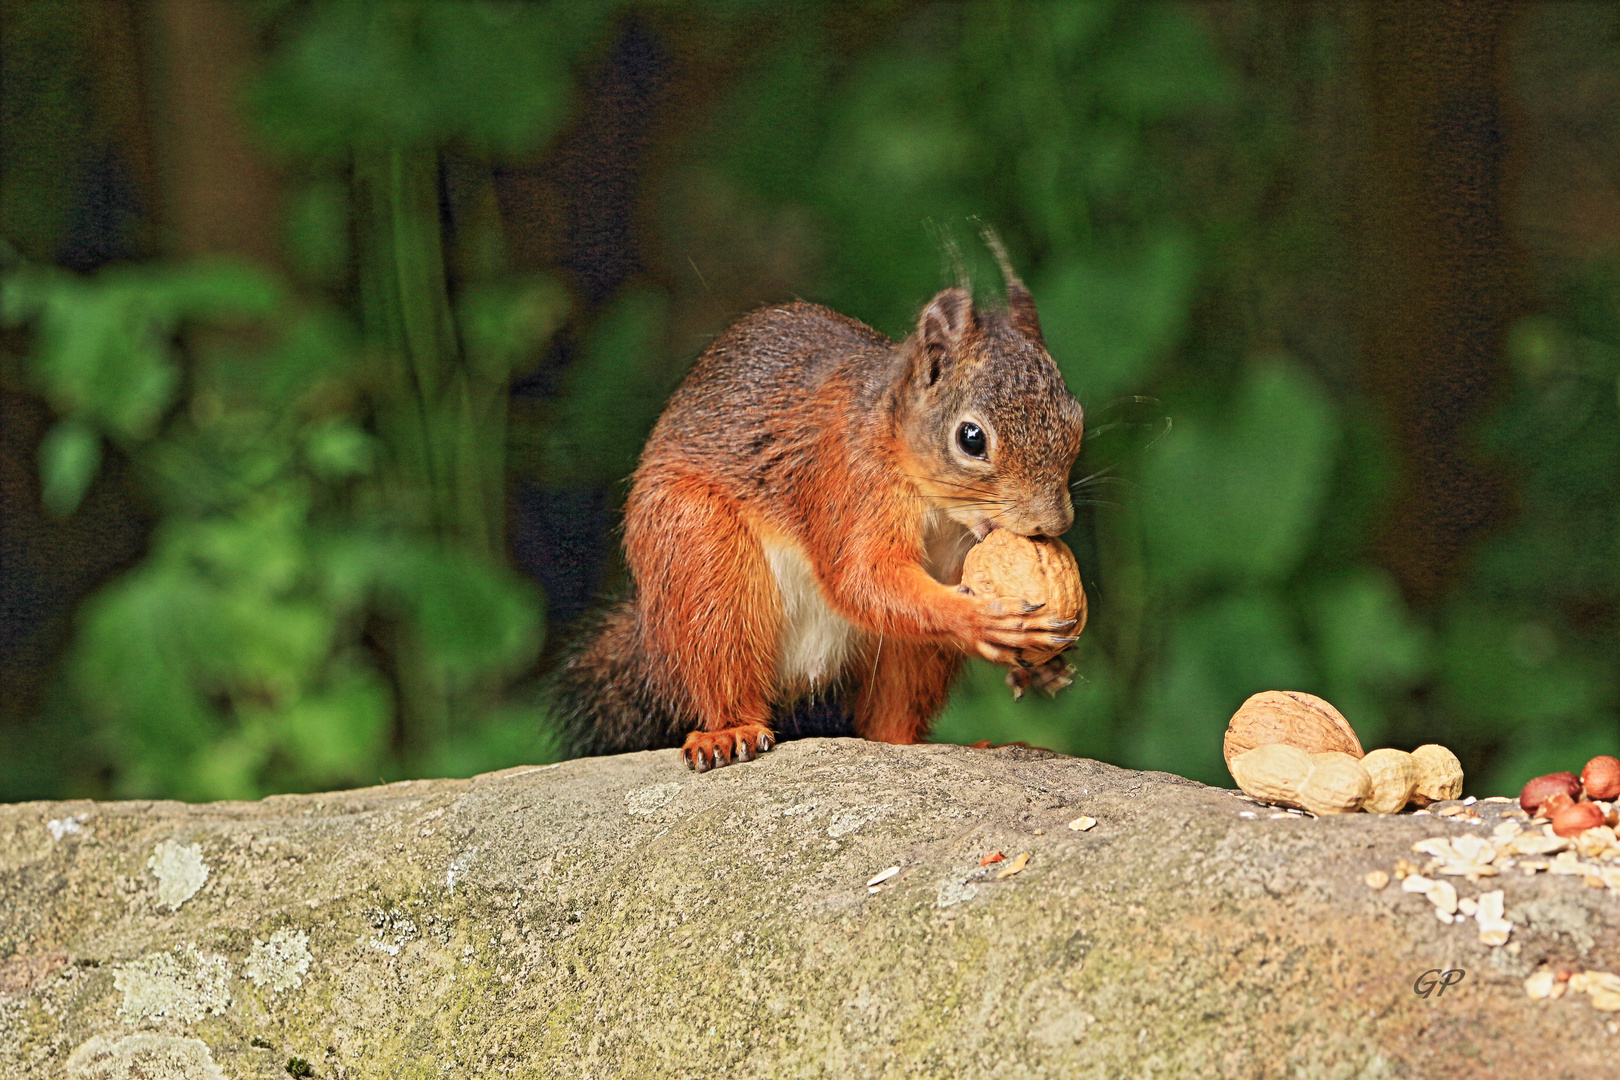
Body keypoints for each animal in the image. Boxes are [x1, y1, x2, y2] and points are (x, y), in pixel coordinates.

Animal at [550, 241, 1082, 773]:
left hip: (899, 651)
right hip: (697, 549)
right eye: (971, 438)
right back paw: (729, 731)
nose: (1052, 523)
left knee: (891, 715)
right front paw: (983, 620)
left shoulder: (955, 556)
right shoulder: (847, 481)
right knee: (721, 656)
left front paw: (1043, 666)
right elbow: (860, 577)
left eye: (1075, 418)